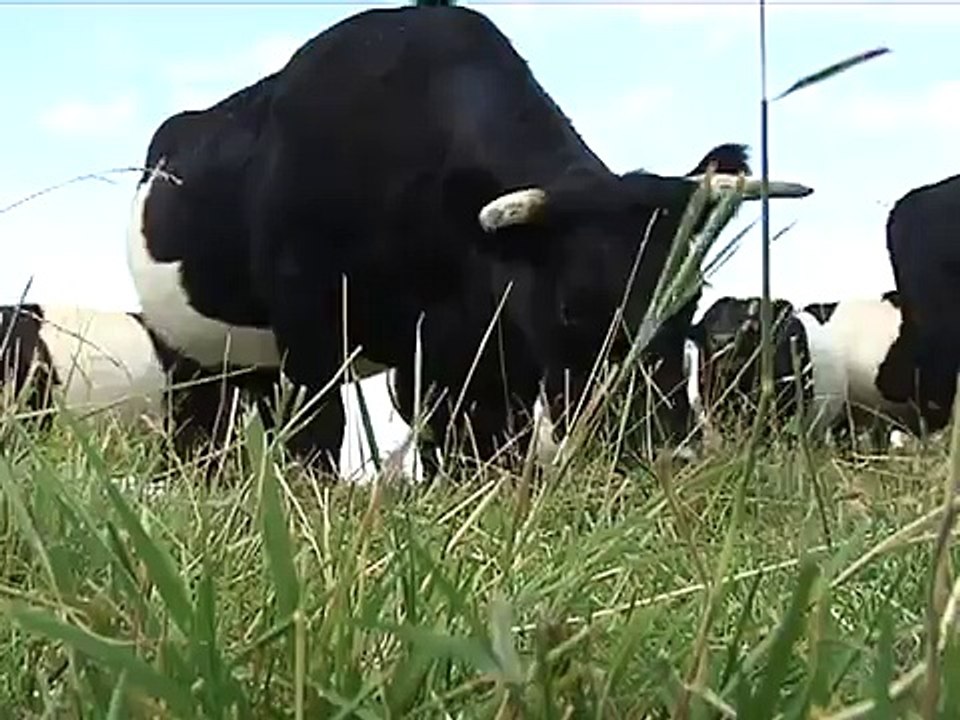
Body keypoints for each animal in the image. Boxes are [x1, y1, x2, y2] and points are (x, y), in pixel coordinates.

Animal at [126, 4, 813, 481]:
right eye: (572, 307)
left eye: (689, 301)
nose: (665, 455)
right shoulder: (309, 316)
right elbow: (321, 432)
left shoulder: (477, 351)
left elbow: (483, 445)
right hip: (187, 354)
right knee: (199, 430)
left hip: (255, 362)